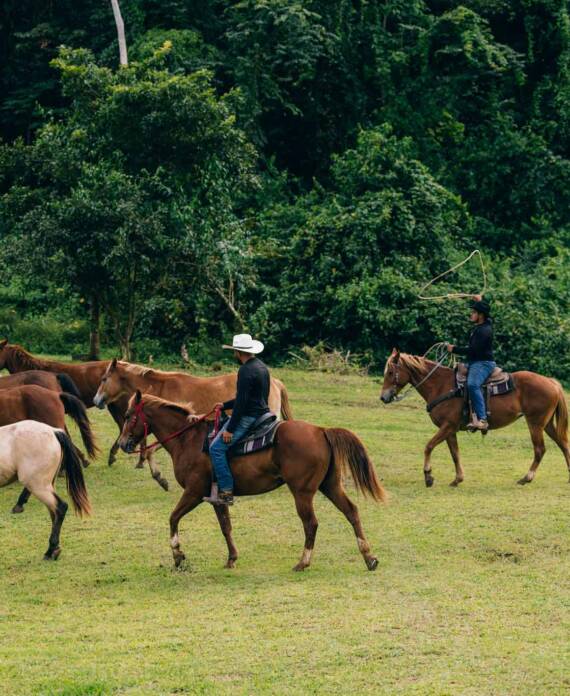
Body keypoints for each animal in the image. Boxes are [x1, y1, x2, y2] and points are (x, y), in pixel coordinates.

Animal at [0, 420, 91, 559]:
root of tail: (54, 431)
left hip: (38, 486)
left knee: (60, 507)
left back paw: (50, 550)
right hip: (47, 485)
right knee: (54, 511)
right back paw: (55, 550)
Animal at [93, 358, 294, 490]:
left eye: (104, 379)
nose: (96, 400)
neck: (162, 387)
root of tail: (276, 382)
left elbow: (150, 450)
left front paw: (159, 478)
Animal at [118, 390, 386, 572]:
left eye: (129, 415)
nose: (122, 444)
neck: (189, 440)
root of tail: (321, 430)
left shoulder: (194, 492)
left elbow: (173, 518)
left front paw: (178, 556)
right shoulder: (217, 497)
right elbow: (225, 526)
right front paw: (231, 559)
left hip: (302, 492)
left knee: (311, 523)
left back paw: (303, 562)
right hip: (329, 485)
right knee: (351, 511)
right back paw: (369, 557)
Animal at [380, 349, 570, 487]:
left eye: (390, 372)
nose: (383, 397)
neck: (441, 386)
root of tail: (552, 382)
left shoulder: (447, 426)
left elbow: (429, 446)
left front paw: (428, 476)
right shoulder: (450, 430)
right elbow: (455, 454)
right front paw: (457, 479)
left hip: (535, 423)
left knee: (540, 449)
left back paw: (526, 478)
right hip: (547, 424)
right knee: (563, 444)